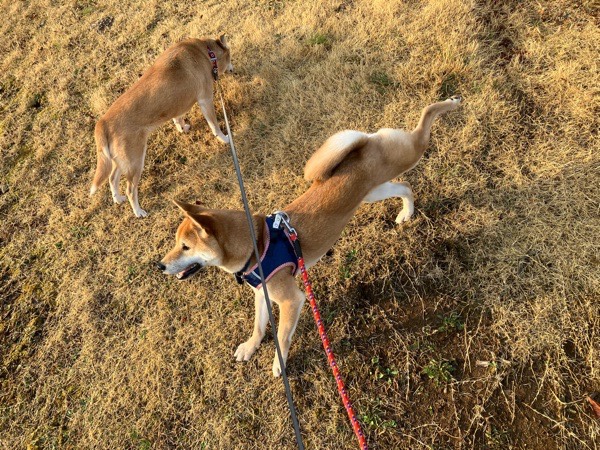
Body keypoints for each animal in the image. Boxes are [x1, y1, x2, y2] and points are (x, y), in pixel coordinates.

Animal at [89, 35, 234, 217]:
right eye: (230, 57)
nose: (233, 69)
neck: (206, 53)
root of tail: (103, 123)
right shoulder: (205, 99)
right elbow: (214, 126)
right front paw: (225, 138)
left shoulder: (178, 105)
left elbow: (178, 119)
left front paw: (182, 128)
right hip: (135, 161)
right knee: (130, 189)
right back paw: (138, 211)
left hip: (120, 160)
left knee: (112, 178)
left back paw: (117, 198)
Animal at [158, 96, 462, 376]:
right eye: (176, 243)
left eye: (185, 247)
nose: (159, 265)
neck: (257, 244)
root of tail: (363, 144)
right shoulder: (263, 293)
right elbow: (258, 325)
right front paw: (250, 346)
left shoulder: (291, 300)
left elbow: (282, 337)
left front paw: (279, 364)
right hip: (374, 191)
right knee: (406, 186)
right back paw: (406, 213)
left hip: (408, 154)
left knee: (424, 125)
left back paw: (451, 103)